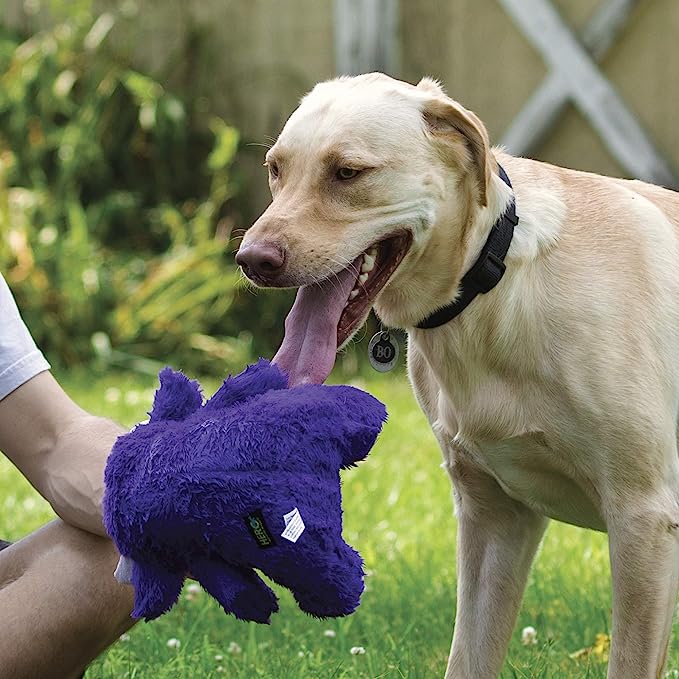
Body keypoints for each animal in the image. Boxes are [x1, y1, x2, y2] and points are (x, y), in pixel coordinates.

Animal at [236, 71, 679, 676]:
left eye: (347, 173)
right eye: (275, 169)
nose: (250, 260)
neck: (495, 288)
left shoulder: (643, 519)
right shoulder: (493, 517)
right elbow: (468, 657)